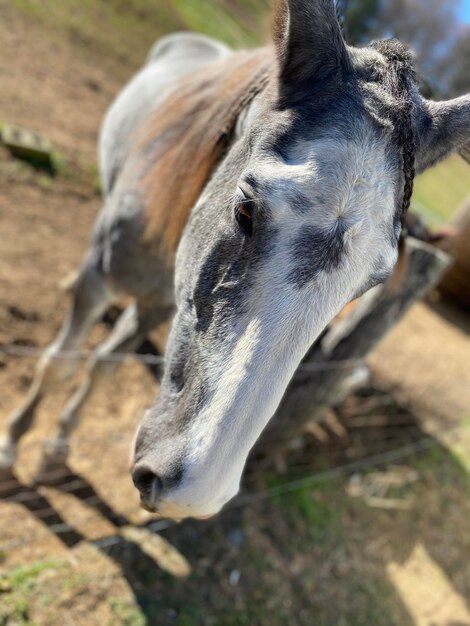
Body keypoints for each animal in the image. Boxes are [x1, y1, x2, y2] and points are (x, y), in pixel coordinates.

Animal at [0, 0, 470, 516]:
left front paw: (57, 450)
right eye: (246, 209)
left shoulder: (164, 302)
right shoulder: (99, 277)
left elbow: (104, 364)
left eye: (370, 283)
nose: (193, 495)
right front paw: (12, 447)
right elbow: (60, 361)